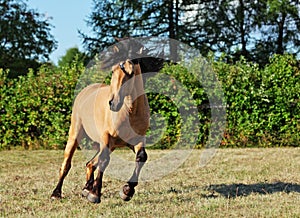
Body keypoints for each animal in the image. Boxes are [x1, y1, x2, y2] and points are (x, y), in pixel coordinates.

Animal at [51, 56, 152, 203]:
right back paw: (56, 193)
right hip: (76, 134)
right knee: (67, 164)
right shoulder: (106, 136)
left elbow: (141, 157)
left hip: (111, 145)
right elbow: (104, 160)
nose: (113, 103)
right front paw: (95, 194)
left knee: (90, 163)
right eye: (113, 70)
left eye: (131, 72)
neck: (130, 111)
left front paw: (127, 190)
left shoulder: (136, 139)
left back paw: (86, 188)